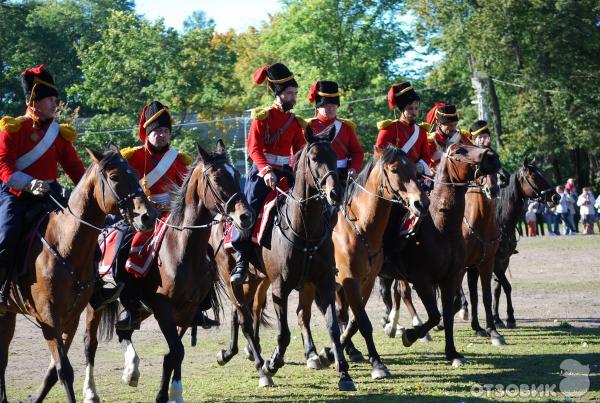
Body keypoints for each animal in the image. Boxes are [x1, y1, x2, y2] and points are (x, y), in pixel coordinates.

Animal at [0, 148, 157, 403]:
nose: (148, 216)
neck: (64, 245)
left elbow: (55, 370)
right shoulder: (48, 317)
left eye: (134, 173)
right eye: (114, 176)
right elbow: (64, 369)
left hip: (7, 313)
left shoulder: (71, 317)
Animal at [83, 140, 254, 402]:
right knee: (90, 343)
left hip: (142, 309)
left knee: (123, 330)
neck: (181, 249)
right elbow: (175, 351)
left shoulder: (188, 311)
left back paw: (131, 371)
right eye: (216, 178)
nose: (246, 216)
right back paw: (91, 390)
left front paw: (174, 392)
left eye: (236, 174)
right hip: (97, 305)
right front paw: (164, 394)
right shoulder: (164, 309)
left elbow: (175, 353)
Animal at [212, 125, 356, 392]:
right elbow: (284, 333)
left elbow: (332, 326)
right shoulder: (280, 288)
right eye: (314, 158)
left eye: (334, 156)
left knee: (247, 312)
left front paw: (344, 374)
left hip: (257, 280)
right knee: (241, 312)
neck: (304, 229)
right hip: (232, 279)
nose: (335, 193)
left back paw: (243, 351)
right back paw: (236, 355)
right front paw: (271, 364)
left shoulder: (324, 283)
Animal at [294, 148, 426, 378]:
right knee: (304, 314)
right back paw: (311, 355)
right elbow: (362, 321)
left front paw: (332, 352)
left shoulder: (367, 281)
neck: (360, 228)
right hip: (310, 283)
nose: (421, 203)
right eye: (394, 170)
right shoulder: (349, 281)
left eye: (413, 168)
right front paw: (377, 365)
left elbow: (355, 321)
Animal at [492, 159, 556, 330]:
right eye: (534, 177)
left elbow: (498, 289)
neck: (501, 222)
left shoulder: (504, 260)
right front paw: (510, 317)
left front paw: (498, 318)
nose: (557, 197)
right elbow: (506, 286)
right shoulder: (494, 262)